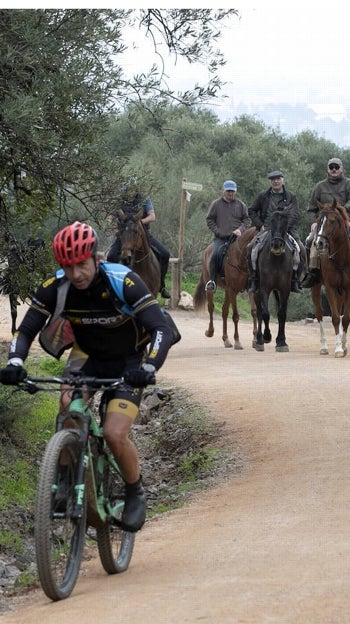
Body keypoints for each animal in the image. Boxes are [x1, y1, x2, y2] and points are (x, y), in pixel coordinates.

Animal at [253, 211, 294, 352]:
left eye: (286, 223)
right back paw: (259, 340)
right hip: (256, 291)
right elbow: (265, 313)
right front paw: (267, 336)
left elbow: (282, 314)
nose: (276, 244)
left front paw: (281, 342)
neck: (276, 260)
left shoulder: (284, 289)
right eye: (271, 221)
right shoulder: (264, 288)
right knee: (259, 311)